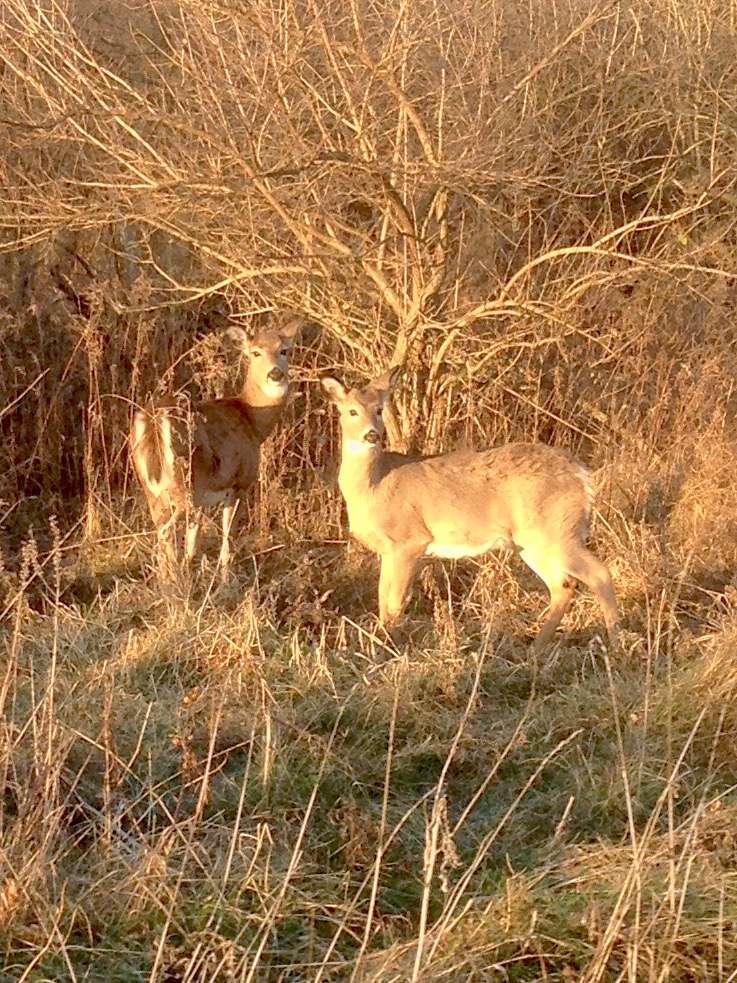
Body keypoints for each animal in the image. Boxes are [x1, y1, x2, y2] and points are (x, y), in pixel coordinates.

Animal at [129, 316, 300, 580]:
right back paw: (173, 580)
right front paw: (226, 578)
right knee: (166, 530)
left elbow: (194, 539)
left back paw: (167, 578)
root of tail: (153, 422)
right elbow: (227, 536)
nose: (275, 374)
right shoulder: (239, 482)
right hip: (183, 481)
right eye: (255, 352)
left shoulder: (204, 497)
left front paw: (194, 567)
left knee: (161, 527)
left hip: (152, 487)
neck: (252, 422)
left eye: (284, 350)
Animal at [322, 366, 620, 648]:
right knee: (563, 585)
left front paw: (388, 646)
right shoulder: (388, 550)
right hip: (532, 541)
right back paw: (536, 649)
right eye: (351, 411)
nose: (371, 435)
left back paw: (615, 643)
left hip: (557, 529)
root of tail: (582, 476)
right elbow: (383, 599)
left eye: (379, 410)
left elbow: (394, 603)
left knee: (599, 574)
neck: (375, 485)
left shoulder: (409, 540)